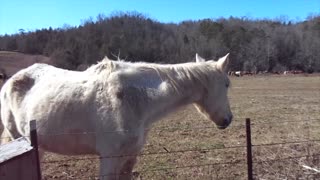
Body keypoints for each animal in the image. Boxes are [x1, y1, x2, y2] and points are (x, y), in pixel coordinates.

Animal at [1, 52, 234, 179]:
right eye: (227, 84)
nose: (228, 119)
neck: (134, 99)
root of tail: (11, 80)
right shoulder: (109, 158)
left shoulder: (130, 156)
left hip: (37, 146)